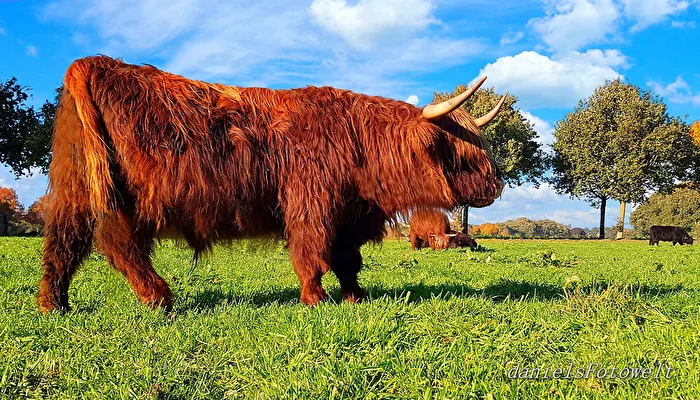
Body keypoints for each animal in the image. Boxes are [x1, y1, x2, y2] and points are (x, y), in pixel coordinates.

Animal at [37, 56, 504, 313]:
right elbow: (312, 254)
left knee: (64, 241)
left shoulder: (348, 213)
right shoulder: (312, 204)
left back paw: (54, 306)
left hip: (76, 188)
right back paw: (159, 298)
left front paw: (355, 296)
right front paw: (314, 299)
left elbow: (347, 260)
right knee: (120, 245)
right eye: (465, 154)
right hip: (123, 199)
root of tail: (93, 64)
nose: (497, 186)